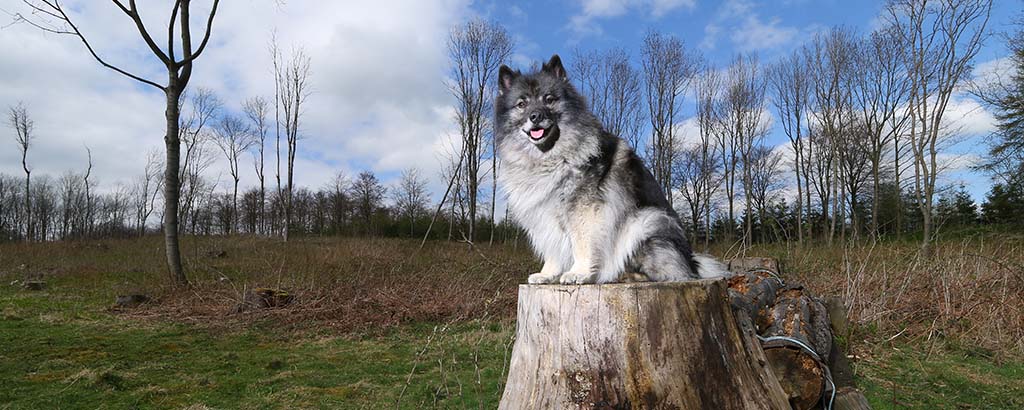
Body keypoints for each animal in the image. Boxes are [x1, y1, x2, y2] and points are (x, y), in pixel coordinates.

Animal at [491, 53, 724, 284]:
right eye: (521, 104)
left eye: (549, 99)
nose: (536, 116)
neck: (549, 157)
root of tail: (693, 264)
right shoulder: (544, 215)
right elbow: (553, 249)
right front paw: (548, 274)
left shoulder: (583, 211)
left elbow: (581, 245)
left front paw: (579, 273)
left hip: (646, 222)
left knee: (667, 273)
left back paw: (627, 276)